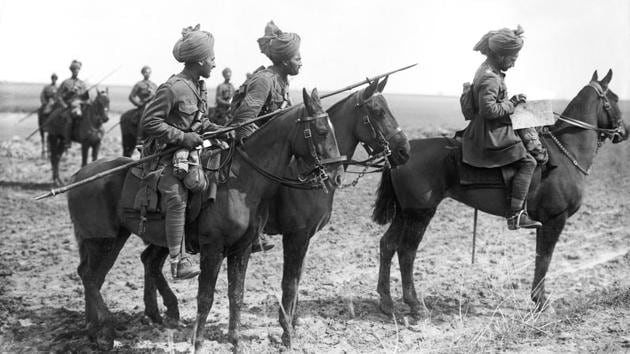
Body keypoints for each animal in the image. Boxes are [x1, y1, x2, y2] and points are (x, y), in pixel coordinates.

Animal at [66, 87, 346, 350]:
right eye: (322, 130)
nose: (337, 175)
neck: (240, 182)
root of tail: (79, 174)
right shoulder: (216, 248)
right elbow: (208, 296)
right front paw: (198, 341)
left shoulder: (242, 248)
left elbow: (237, 293)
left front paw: (235, 341)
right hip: (103, 240)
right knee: (90, 276)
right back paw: (106, 332)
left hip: (116, 239)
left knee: (101, 274)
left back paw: (97, 329)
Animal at [262, 76, 414, 346]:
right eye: (378, 111)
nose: (405, 150)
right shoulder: (295, 236)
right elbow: (289, 281)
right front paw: (286, 330)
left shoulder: (305, 238)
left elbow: (297, 278)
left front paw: (293, 321)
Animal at [372, 68, 628, 316]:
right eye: (614, 99)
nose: (624, 131)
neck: (565, 152)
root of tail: (400, 154)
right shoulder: (555, 220)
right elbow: (545, 259)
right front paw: (541, 302)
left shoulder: (545, 223)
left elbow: (540, 257)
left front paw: (538, 299)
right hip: (420, 214)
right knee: (406, 252)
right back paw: (414, 305)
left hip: (404, 213)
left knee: (387, 245)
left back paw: (386, 303)